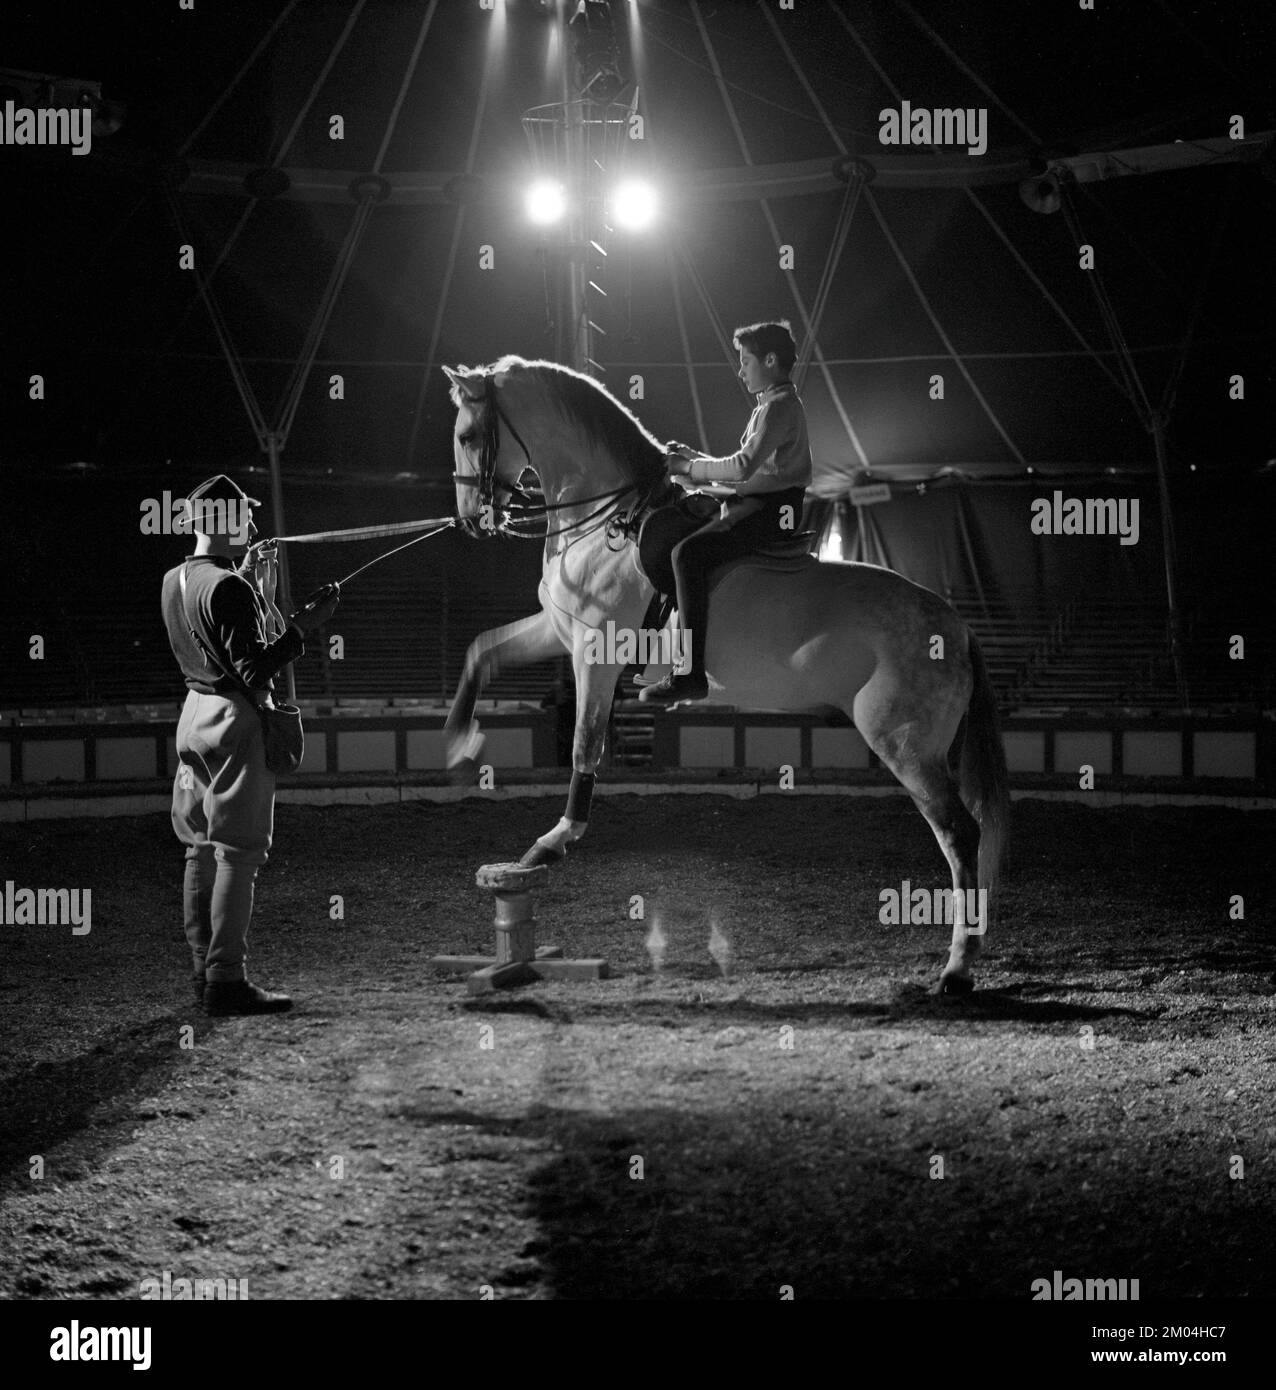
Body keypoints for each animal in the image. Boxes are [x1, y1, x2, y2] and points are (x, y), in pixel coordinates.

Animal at [442, 355, 1008, 995]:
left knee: (959, 834)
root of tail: (954, 626)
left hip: (904, 743)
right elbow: (481, 651)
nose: (471, 519)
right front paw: (461, 745)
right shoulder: (559, 630)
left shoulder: (595, 652)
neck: (610, 522)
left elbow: (585, 747)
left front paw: (551, 845)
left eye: (468, 436)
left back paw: (957, 968)